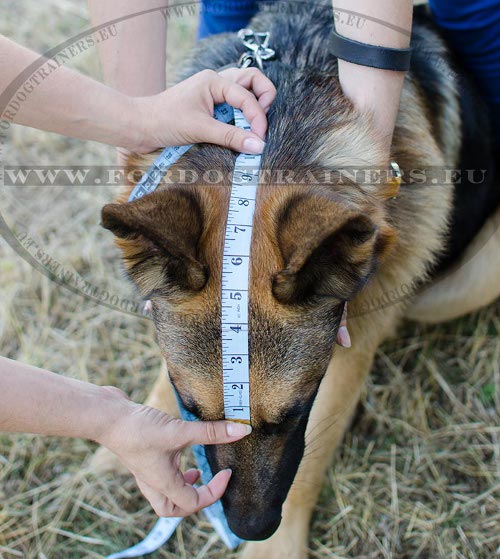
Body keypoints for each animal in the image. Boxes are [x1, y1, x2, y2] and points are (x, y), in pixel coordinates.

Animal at [94, 2, 500, 556]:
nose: (248, 528)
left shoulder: (347, 351)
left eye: (294, 412)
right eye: (196, 412)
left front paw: (277, 547)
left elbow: (312, 457)